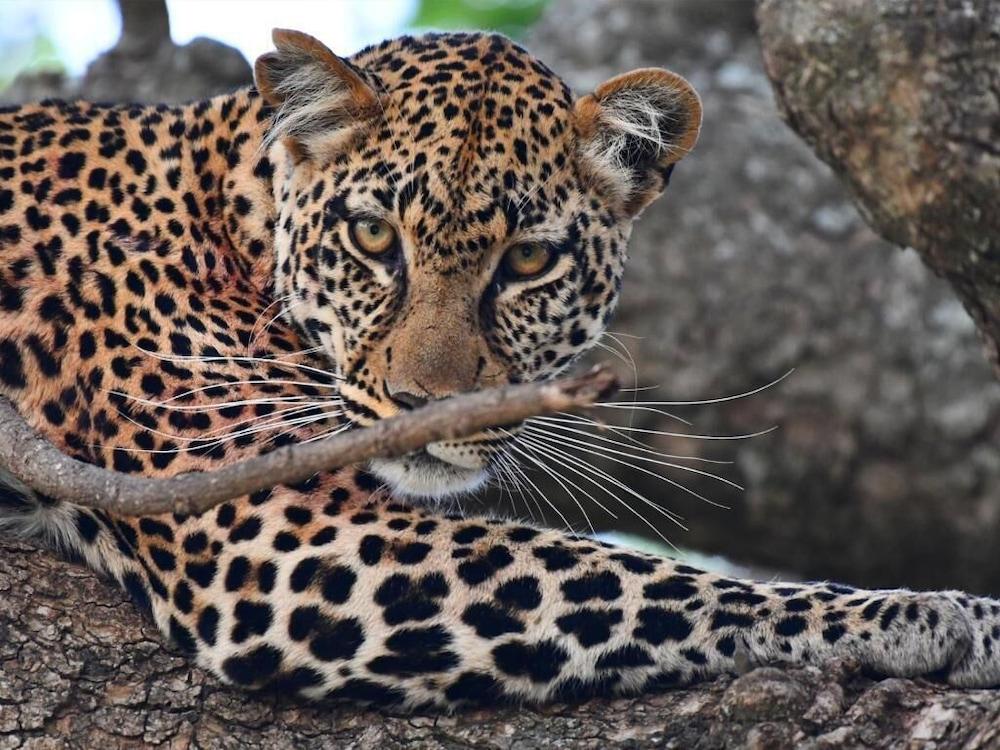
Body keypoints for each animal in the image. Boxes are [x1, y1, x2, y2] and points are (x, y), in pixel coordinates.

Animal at [1, 29, 1000, 712]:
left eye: (528, 261)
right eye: (374, 237)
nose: (426, 404)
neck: (234, 218)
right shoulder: (275, 529)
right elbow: (647, 583)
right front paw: (933, 615)